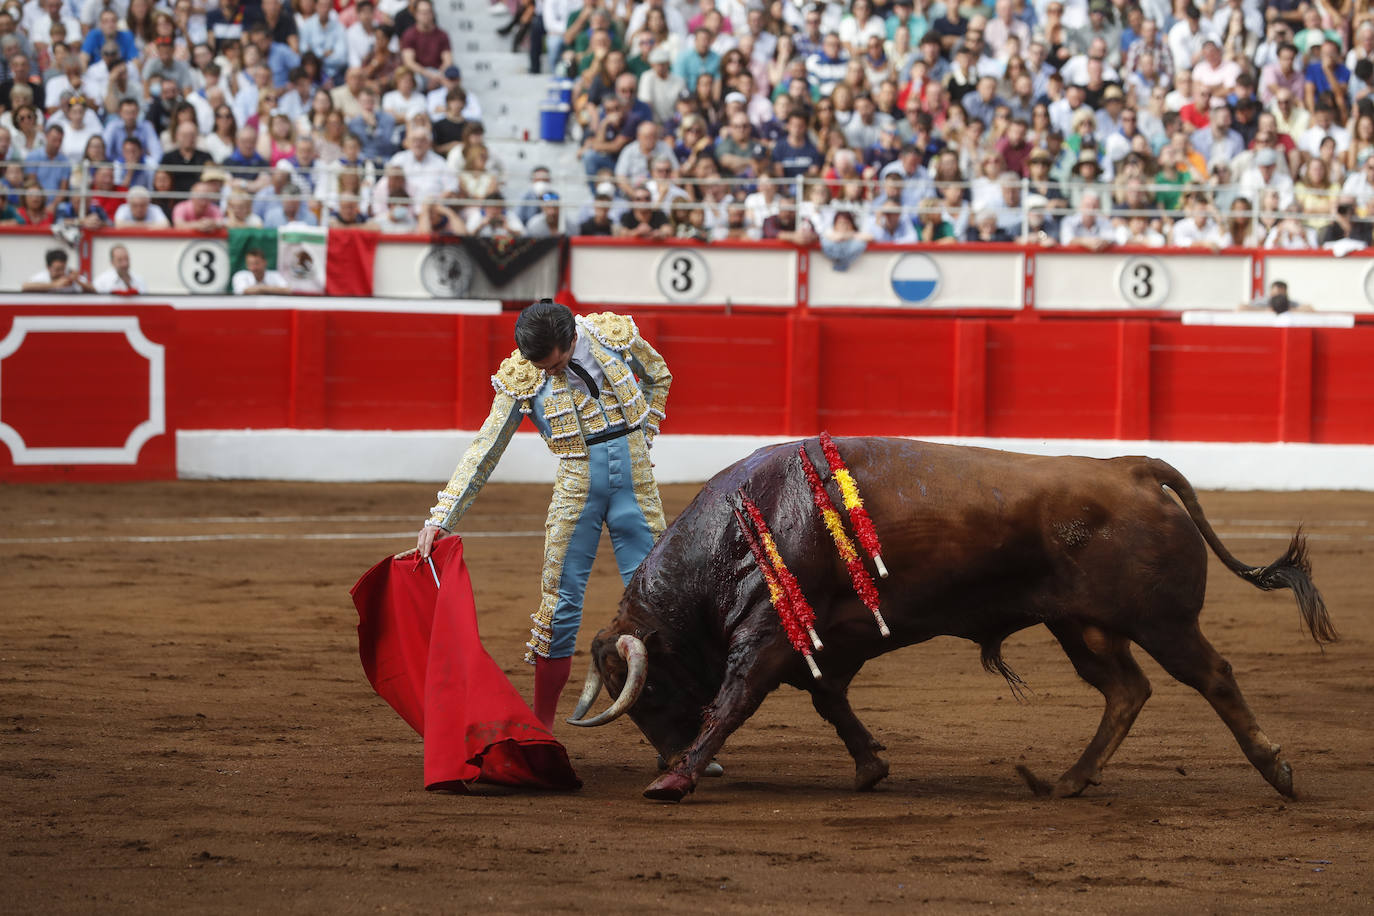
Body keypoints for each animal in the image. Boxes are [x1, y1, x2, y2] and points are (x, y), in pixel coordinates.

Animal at [563, 436, 1335, 802]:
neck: (744, 527)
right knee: (1126, 691)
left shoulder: (768, 637)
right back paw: (1065, 782)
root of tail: (1131, 467)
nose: (667, 755)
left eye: (648, 692)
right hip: (1081, 626)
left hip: (1163, 623)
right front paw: (870, 766)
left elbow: (734, 700)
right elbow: (829, 700)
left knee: (1212, 675)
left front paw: (675, 783)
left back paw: (1278, 770)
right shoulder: (817, 647)